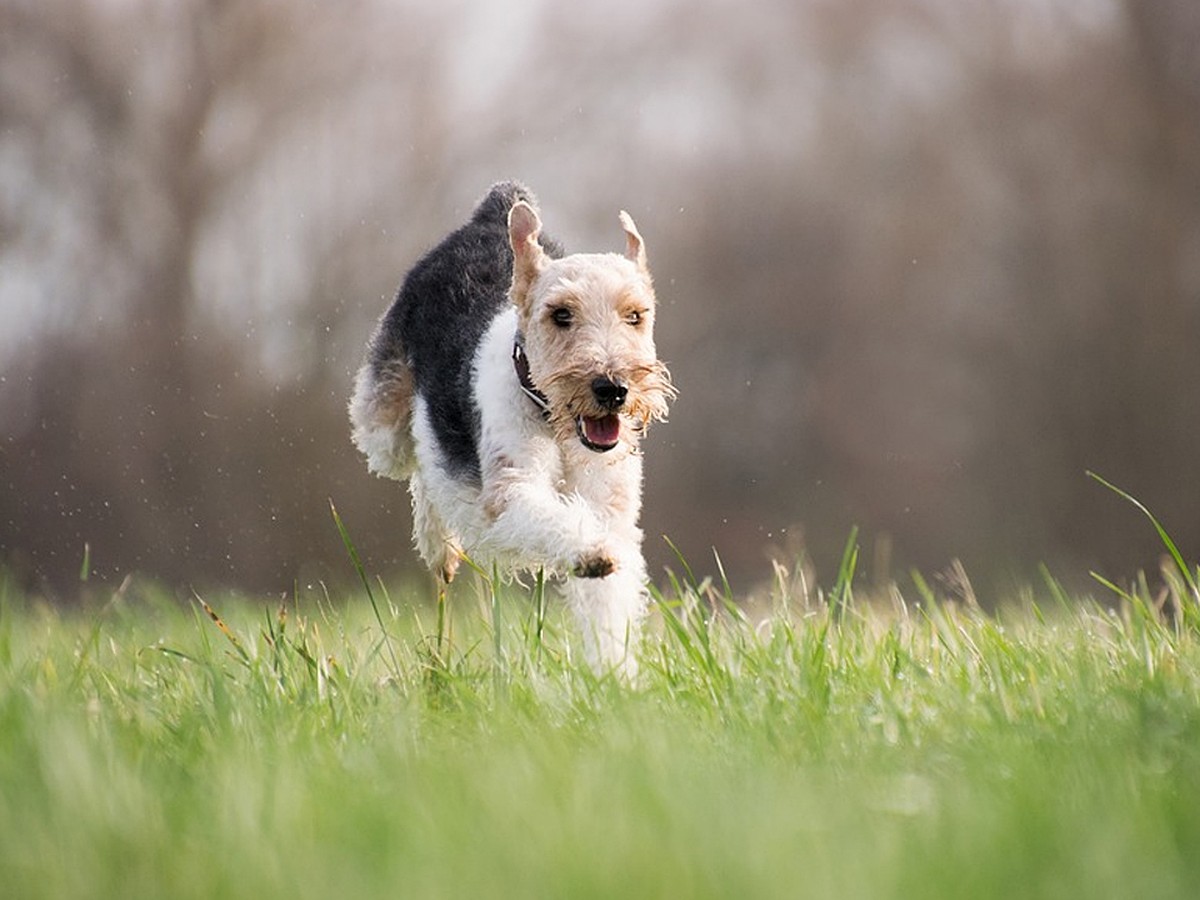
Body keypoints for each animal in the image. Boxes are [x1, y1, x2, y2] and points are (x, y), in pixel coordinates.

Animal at [350, 183, 676, 672]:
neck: (555, 424)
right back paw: (440, 548)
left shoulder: (612, 510)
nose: (612, 388)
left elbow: (609, 602)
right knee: (420, 461)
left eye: (635, 315)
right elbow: (550, 518)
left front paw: (615, 674)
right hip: (383, 426)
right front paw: (591, 553)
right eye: (561, 314)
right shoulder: (510, 492)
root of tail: (492, 212)